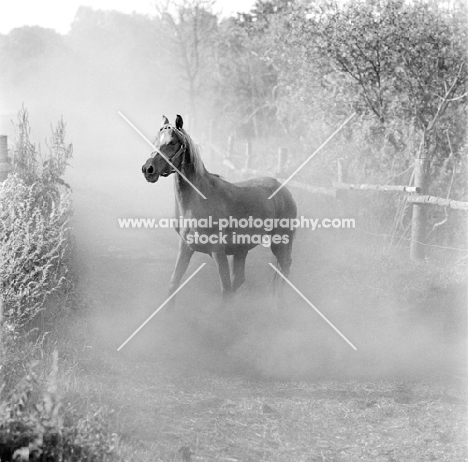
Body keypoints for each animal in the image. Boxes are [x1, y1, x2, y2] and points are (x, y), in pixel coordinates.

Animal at [141, 115, 298, 308]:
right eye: (156, 141)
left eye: (172, 142)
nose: (148, 169)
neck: (198, 200)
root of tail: (283, 189)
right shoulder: (186, 247)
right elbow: (174, 283)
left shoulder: (218, 252)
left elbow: (225, 288)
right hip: (241, 250)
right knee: (240, 279)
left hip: (280, 243)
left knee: (284, 268)